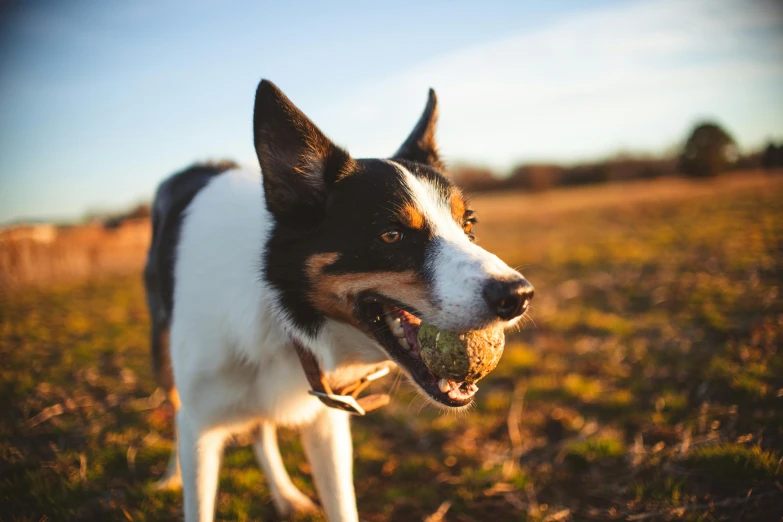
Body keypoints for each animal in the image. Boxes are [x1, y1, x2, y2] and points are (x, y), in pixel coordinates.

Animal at [142, 78, 532, 520]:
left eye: (469, 225)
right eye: (391, 235)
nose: (518, 296)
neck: (281, 313)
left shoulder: (326, 423)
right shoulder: (202, 429)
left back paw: (285, 494)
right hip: (164, 354)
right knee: (179, 411)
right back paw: (170, 476)